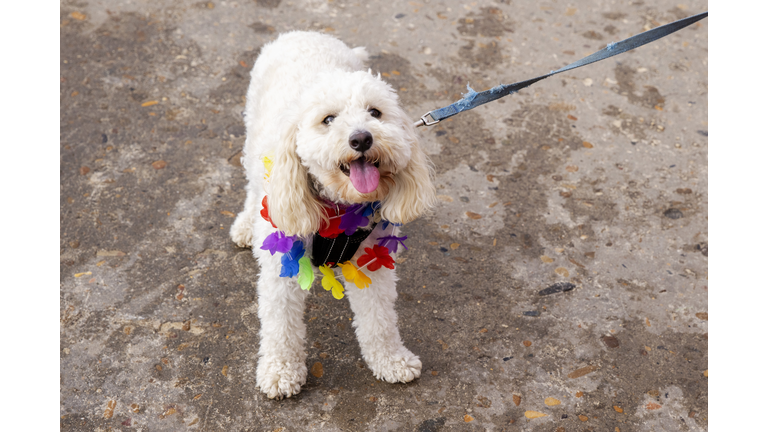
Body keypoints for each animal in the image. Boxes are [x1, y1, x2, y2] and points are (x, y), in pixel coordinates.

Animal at [228, 30, 436, 400]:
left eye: (375, 113)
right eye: (328, 120)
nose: (362, 138)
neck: (339, 204)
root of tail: (305, 32)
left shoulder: (371, 261)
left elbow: (379, 319)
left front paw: (390, 359)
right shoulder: (282, 267)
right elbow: (280, 326)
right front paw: (280, 371)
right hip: (254, 136)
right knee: (253, 184)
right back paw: (246, 225)